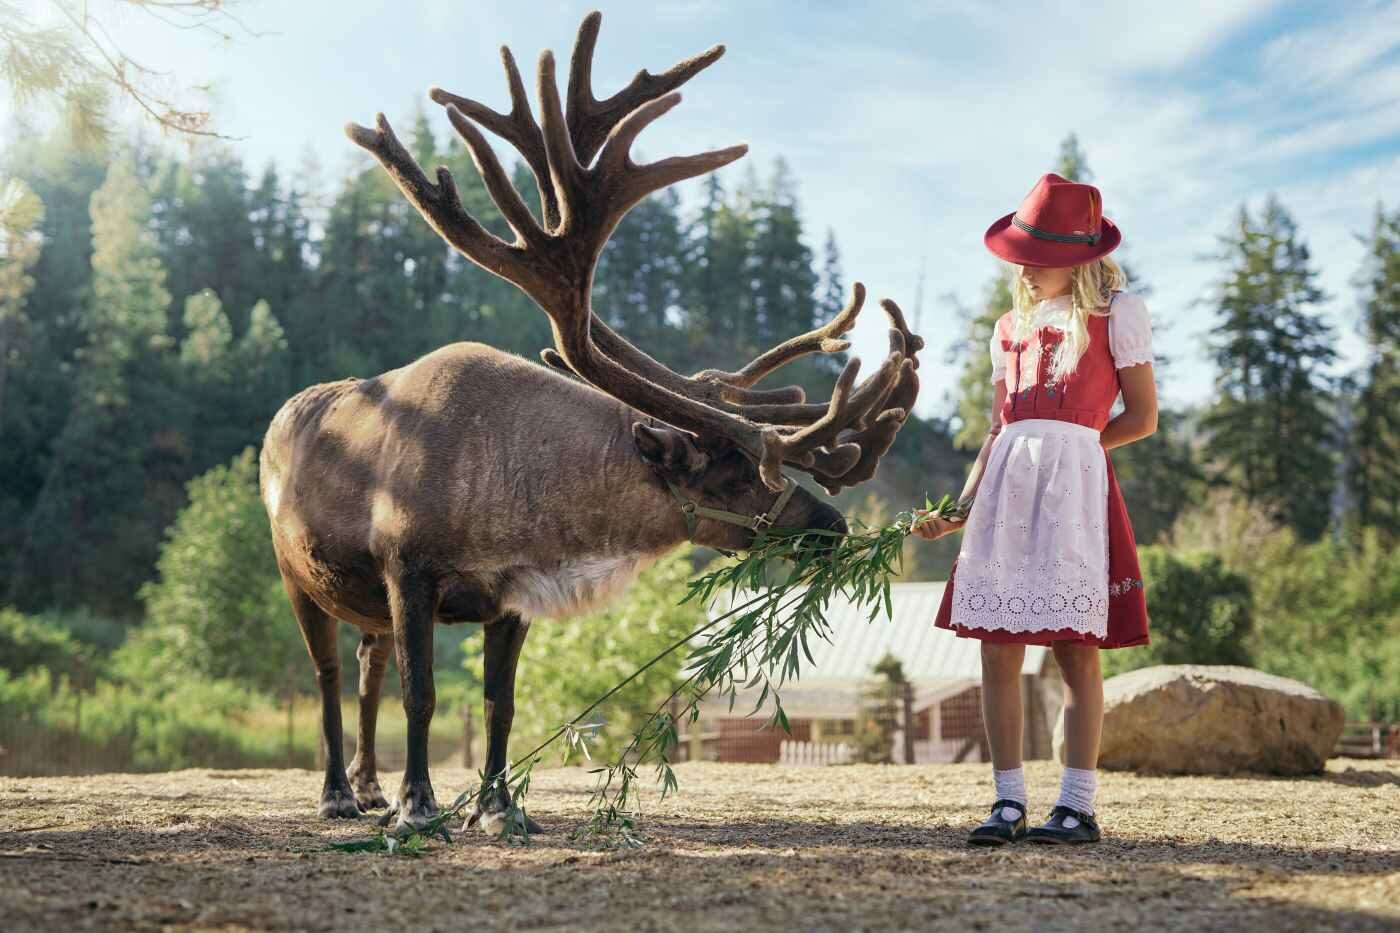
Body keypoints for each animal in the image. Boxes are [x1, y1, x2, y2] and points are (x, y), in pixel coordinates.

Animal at [259, 10, 924, 835]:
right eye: (739, 474)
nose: (832, 526)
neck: (519, 491)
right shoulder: (407, 569)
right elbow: (425, 694)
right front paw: (421, 806)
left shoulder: (509, 594)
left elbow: (499, 703)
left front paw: (500, 808)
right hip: (297, 572)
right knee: (327, 672)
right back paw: (340, 793)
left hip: (362, 601)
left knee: (364, 669)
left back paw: (369, 784)